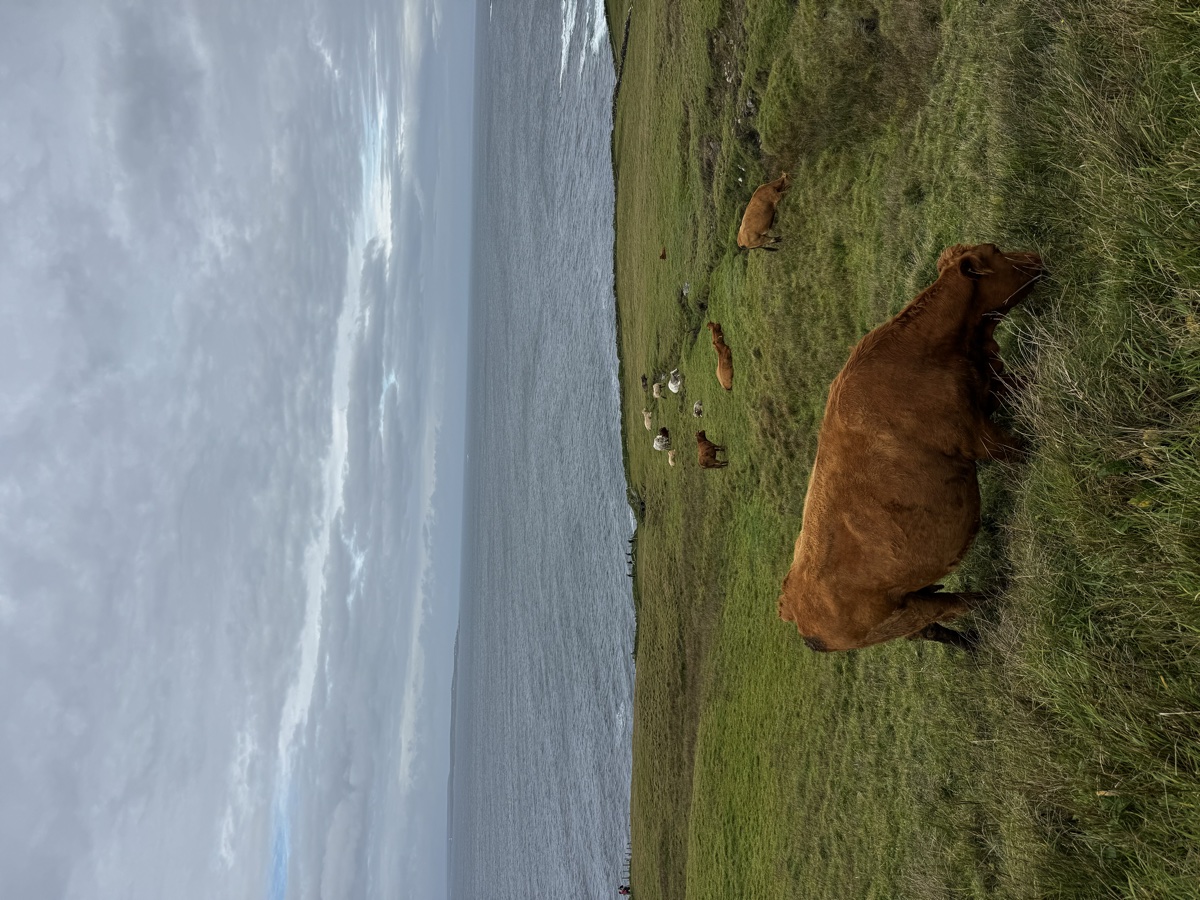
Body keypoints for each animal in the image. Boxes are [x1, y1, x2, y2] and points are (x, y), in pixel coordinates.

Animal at [777, 243, 1043, 652]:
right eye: (996, 252)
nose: (1036, 257)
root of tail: (791, 605)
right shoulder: (976, 435)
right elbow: (1020, 447)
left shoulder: (992, 387)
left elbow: (1028, 381)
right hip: (907, 612)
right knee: (958, 605)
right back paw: (996, 595)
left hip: (910, 610)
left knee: (938, 629)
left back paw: (973, 644)